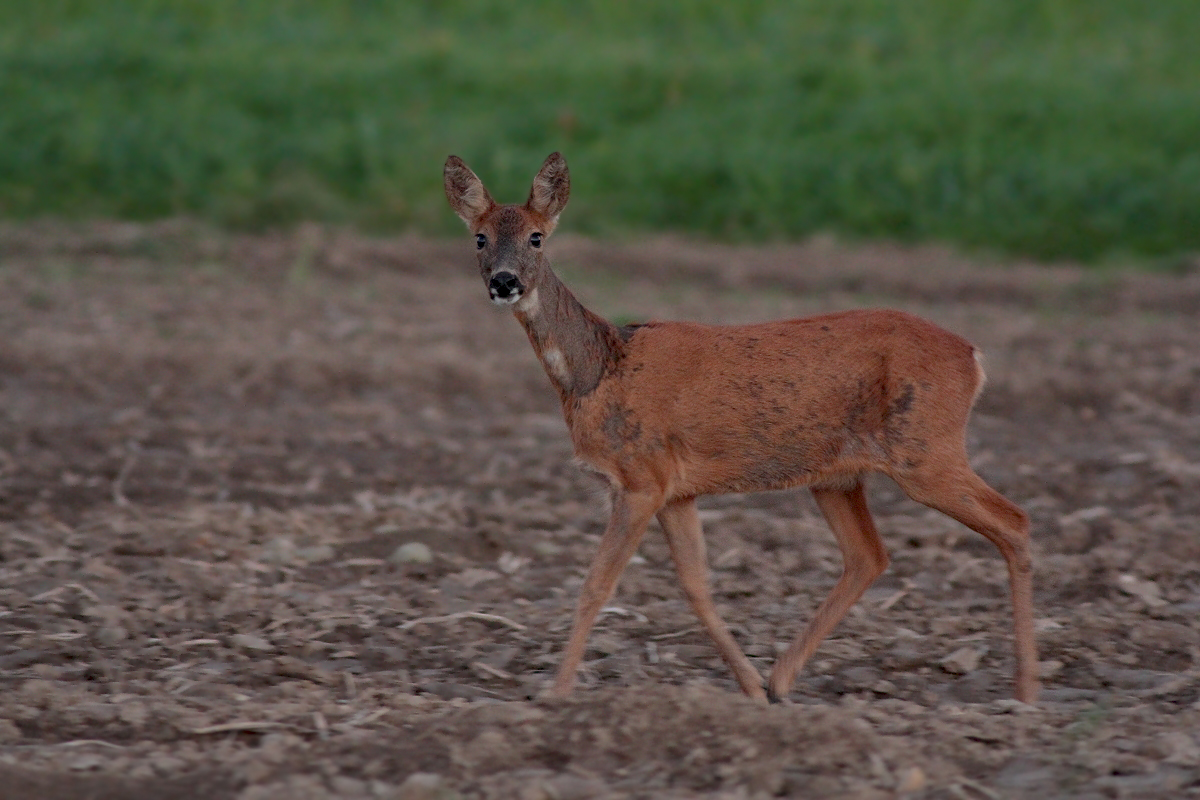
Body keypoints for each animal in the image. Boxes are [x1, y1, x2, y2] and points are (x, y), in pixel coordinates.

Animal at [446, 153, 1036, 705]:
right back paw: (780, 679)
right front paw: (750, 688)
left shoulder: (640, 478)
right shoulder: (675, 490)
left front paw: (557, 692)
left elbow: (596, 585)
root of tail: (973, 356)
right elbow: (696, 586)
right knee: (869, 556)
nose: (505, 282)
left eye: (537, 236)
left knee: (1015, 520)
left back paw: (1026, 690)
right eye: (479, 237)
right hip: (839, 476)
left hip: (926, 450)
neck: (601, 368)